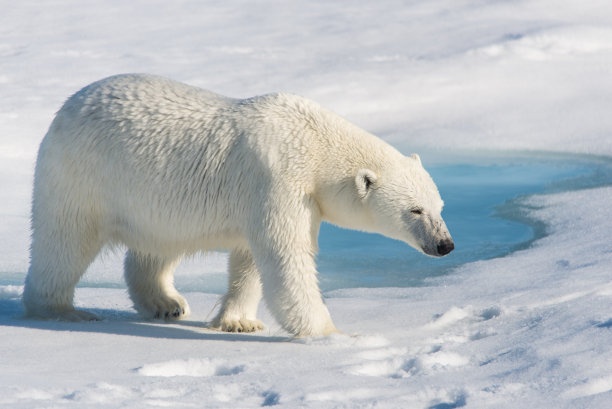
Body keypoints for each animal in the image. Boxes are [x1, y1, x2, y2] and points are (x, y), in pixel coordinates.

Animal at [23, 73, 452, 334]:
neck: (314, 144)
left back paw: (167, 303)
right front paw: (330, 331)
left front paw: (238, 321)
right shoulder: (279, 180)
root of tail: (68, 106)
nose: (445, 244)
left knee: (156, 245)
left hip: (153, 200)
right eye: (415, 210)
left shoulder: (282, 194)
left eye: (440, 206)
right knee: (64, 242)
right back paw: (63, 310)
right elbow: (285, 255)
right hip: (83, 176)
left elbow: (251, 260)